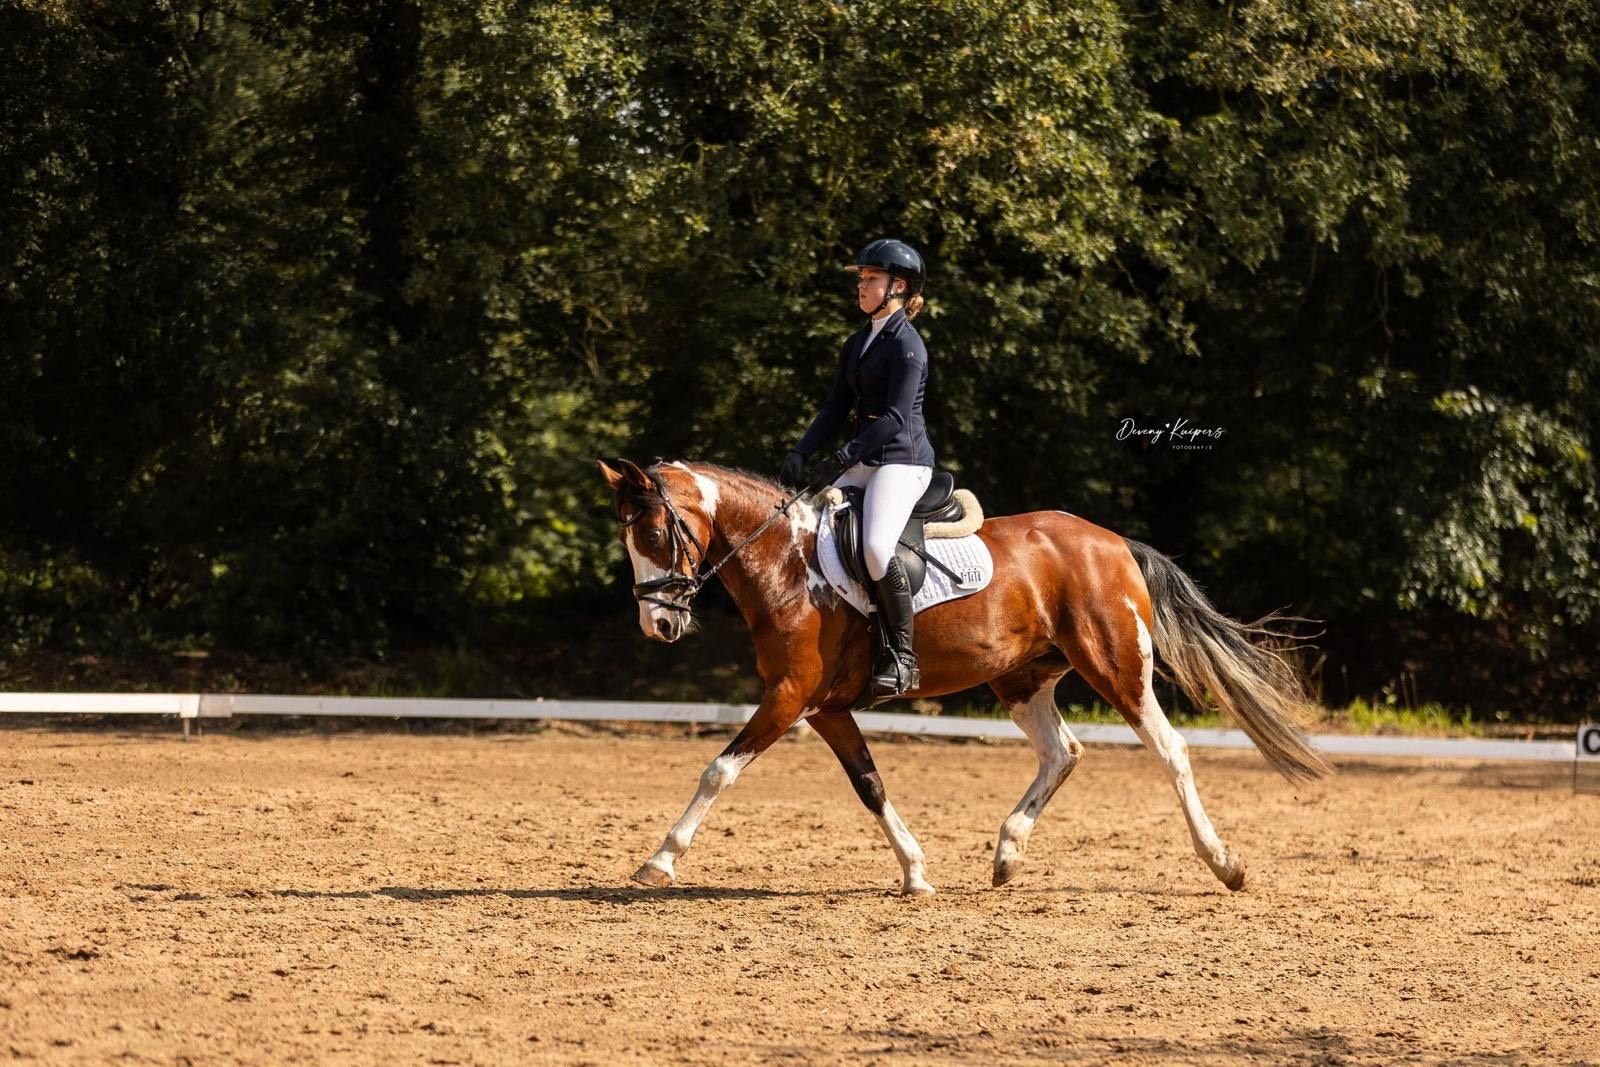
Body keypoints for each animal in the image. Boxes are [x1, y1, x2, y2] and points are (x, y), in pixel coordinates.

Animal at [598, 458, 1330, 896]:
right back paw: (1007, 853)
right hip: (1022, 679)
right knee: (1061, 752)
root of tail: (1114, 542)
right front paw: (916, 872)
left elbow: (718, 770)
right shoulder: (825, 707)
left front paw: (658, 860)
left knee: (1170, 749)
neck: (786, 563)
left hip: (1116, 665)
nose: (658, 625)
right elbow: (870, 785)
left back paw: (1224, 863)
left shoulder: (789, 697)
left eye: (656, 535)